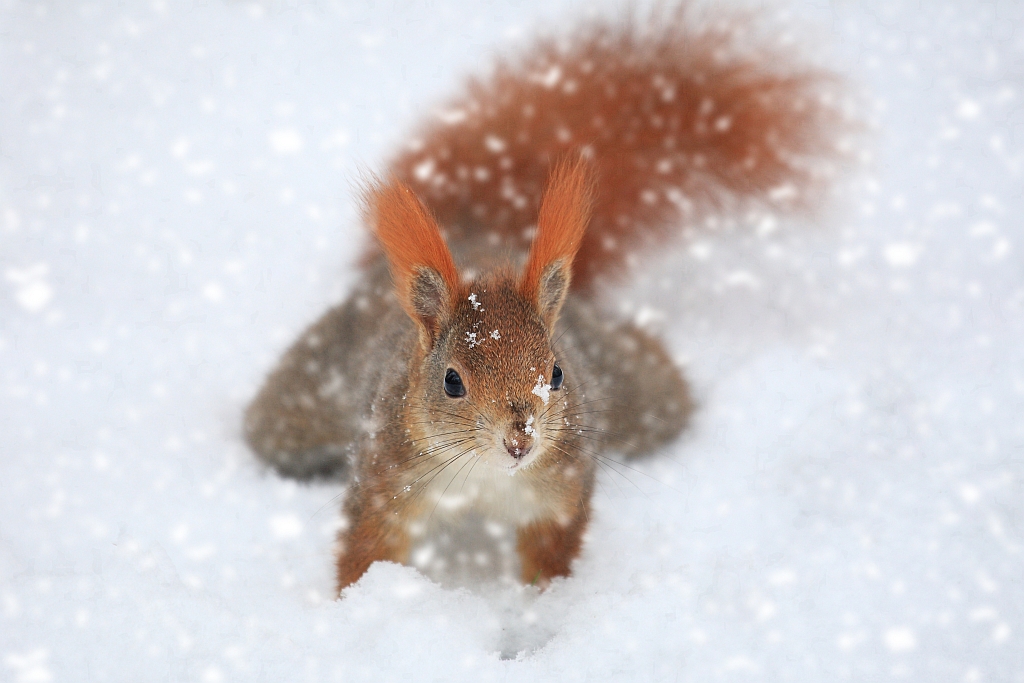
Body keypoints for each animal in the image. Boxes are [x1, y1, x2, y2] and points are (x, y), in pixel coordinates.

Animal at [243, 3, 843, 593]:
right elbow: (366, 551)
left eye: (555, 372)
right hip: (302, 400)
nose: (521, 441)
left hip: (638, 394)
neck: (484, 477)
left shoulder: (560, 491)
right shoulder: (384, 479)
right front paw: (357, 602)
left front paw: (545, 607)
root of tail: (479, 233)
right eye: (452, 381)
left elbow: (552, 555)